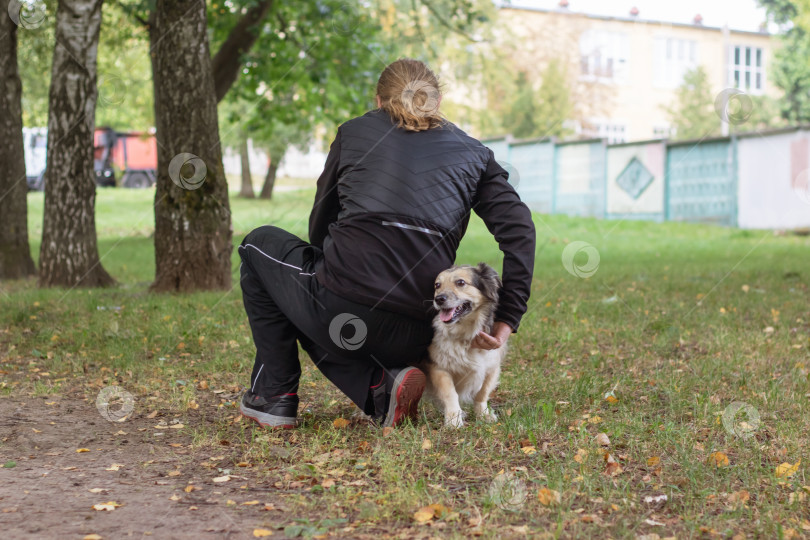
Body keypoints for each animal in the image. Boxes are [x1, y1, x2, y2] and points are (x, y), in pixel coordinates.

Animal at [422, 264, 504, 428]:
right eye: (437, 285)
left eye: (460, 282)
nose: (438, 299)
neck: (465, 335)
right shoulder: (439, 367)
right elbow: (450, 393)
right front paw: (453, 419)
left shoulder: (492, 365)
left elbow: (482, 393)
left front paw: (483, 415)